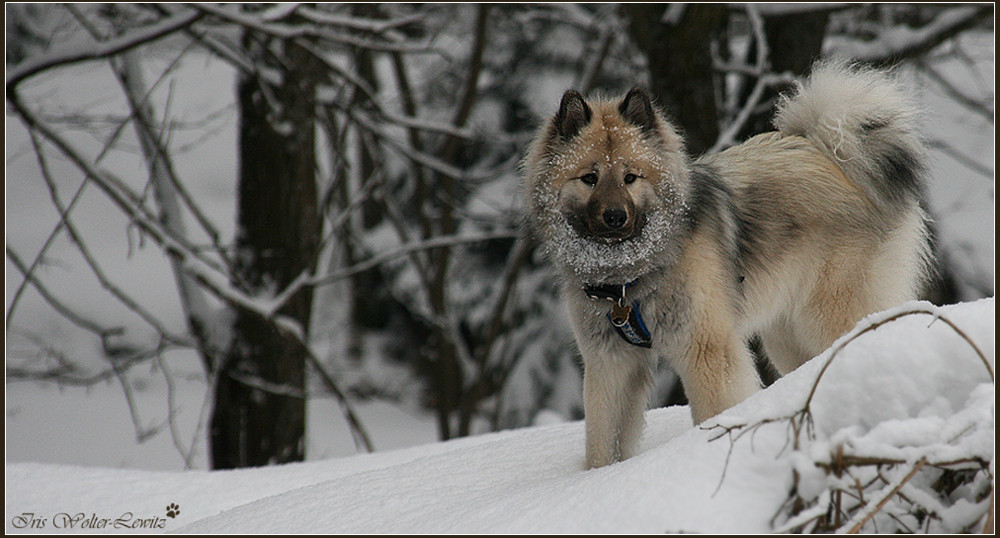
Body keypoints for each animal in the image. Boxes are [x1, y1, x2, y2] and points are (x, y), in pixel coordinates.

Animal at [524, 60, 928, 466]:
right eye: (589, 178)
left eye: (630, 177)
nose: (614, 217)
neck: (631, 278)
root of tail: (828, 150)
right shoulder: (610, 365)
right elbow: (602, 441)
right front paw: (599, 476)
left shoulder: (706, 350)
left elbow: (712, 411)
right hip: (786, 335)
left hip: (829, 314)